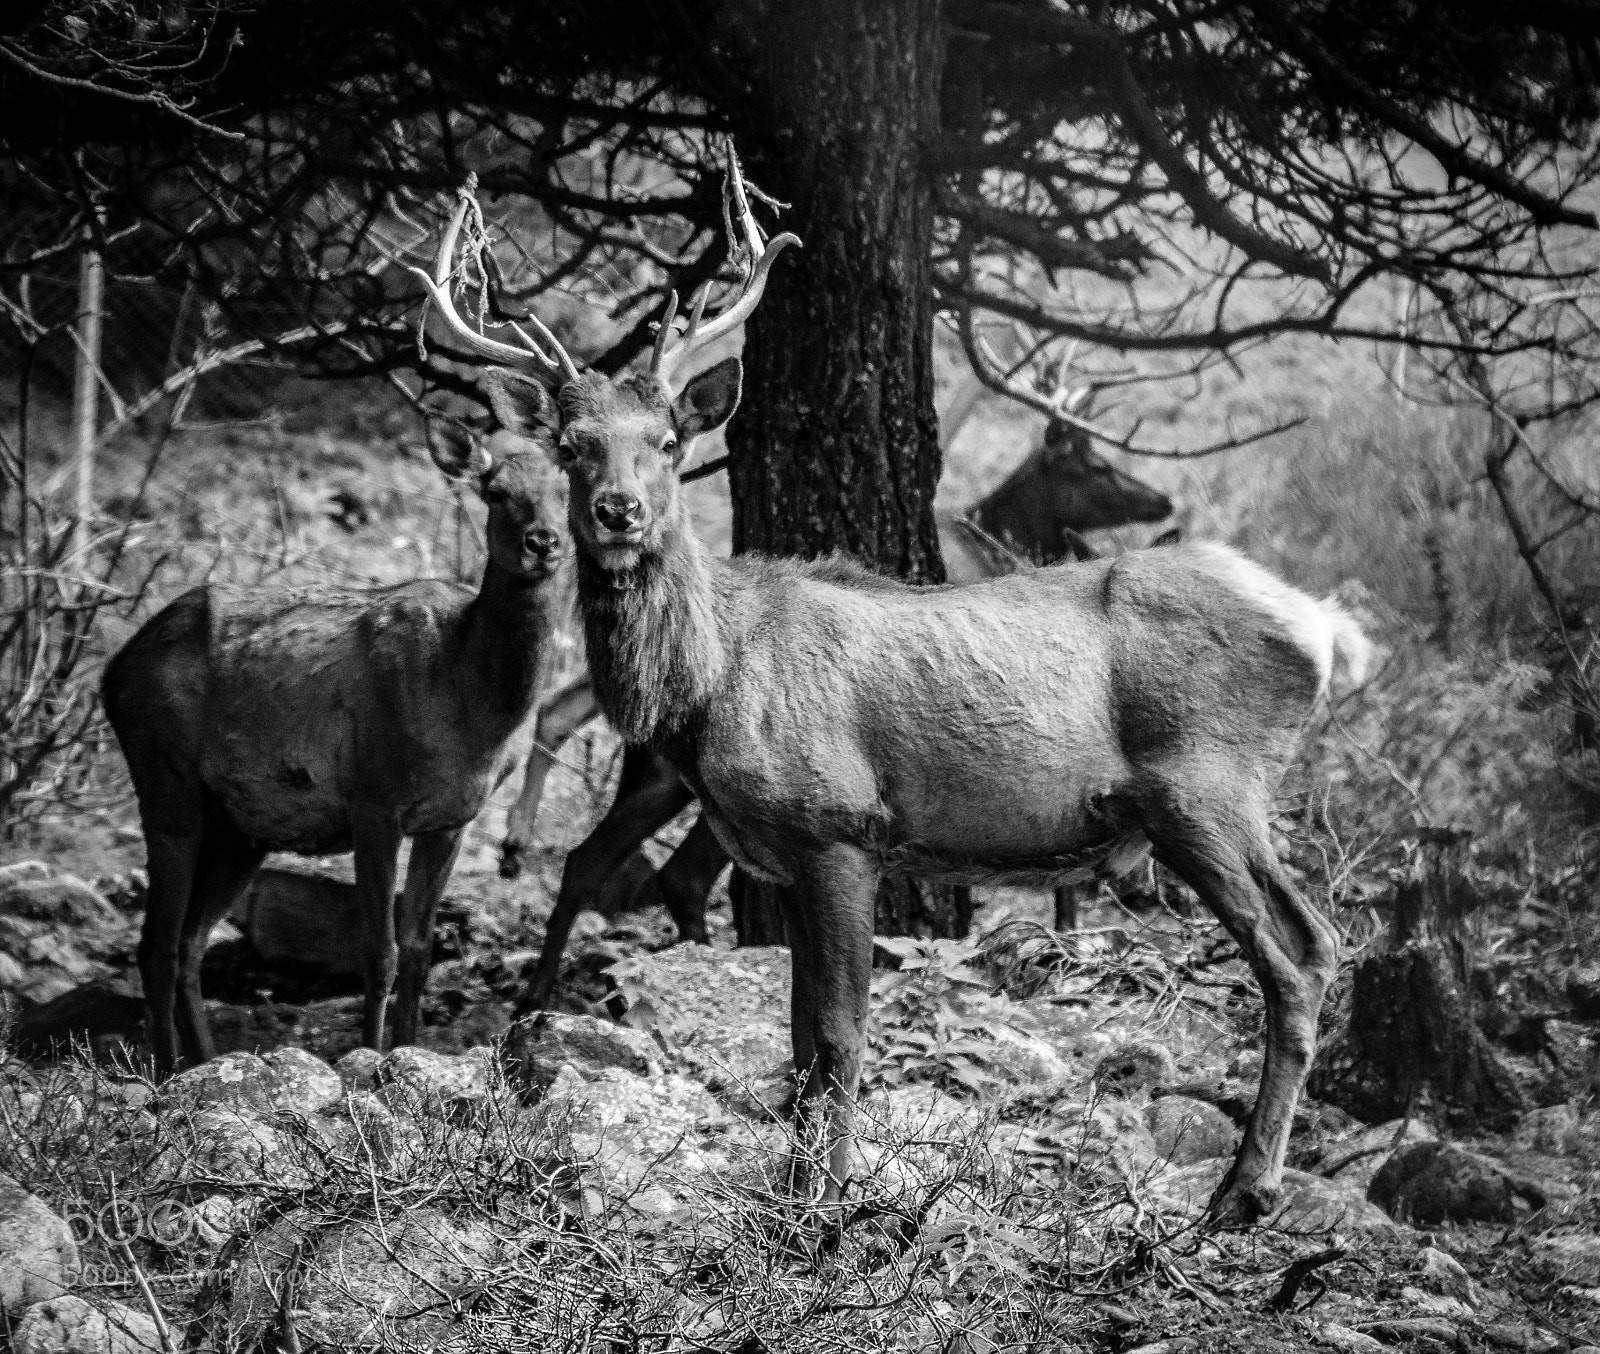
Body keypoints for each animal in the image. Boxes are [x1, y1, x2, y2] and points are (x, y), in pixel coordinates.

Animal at [102, 205, 573, 1075]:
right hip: (165, 776)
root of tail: (112, 669)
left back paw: (207, 1062)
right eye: (495, 490)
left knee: (189, 943)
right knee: (154, 943)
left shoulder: (452, 818)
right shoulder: (371, 797)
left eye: (573, 482)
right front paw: (369, 1065)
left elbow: (420, 952)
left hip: (243, 821)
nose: (545, 542)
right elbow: (376, 954)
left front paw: (412, 1054)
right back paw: (166, 1072)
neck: (471, 709)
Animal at [421, 158, 1368, 1224]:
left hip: (1204, 787)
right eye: (574, 442)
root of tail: (1323, 627)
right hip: (1211, 799)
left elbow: (838, 1039)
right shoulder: (784, 857)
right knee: (1317, 943)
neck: (717, 679)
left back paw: (1242, 1193)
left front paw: (825, 1216)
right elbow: (796, 1046)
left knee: (1298, 956)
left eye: (667, 439)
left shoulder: (841, 826)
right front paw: (790, 1201)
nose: (619, 512)